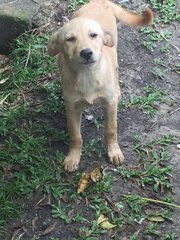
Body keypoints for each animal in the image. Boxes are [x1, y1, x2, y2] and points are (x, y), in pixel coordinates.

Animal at [47, 0, 153, 172]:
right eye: (70, 39)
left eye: (93, 35)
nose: (86, 53)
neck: (87, 75)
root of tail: (99, 1)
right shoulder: (72, 108)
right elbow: (75, 135)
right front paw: (73, 157)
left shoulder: (109, 104)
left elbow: (111, 130)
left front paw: (114, 151)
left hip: (114, 51)